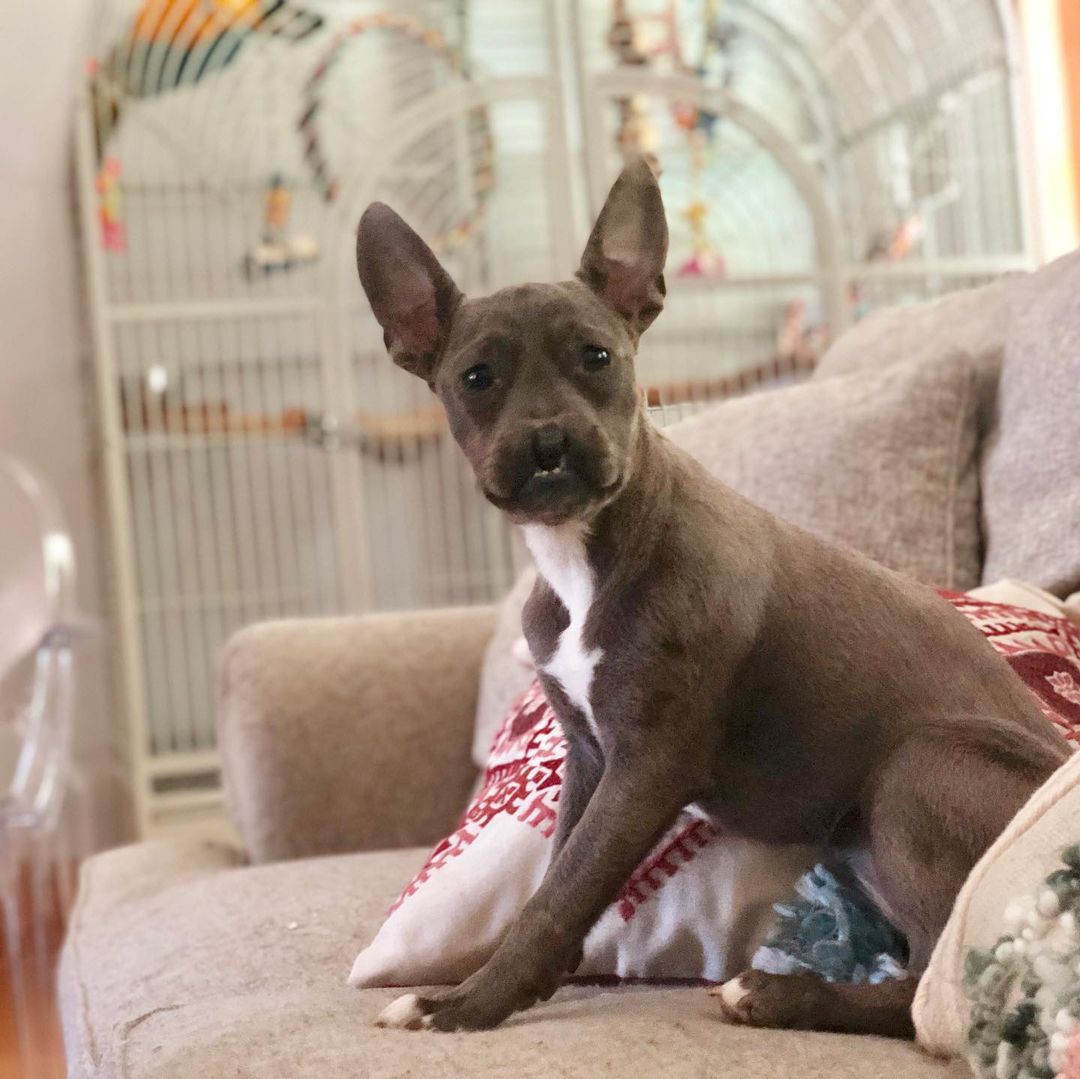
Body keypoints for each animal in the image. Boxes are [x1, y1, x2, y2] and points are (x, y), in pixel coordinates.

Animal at [354, 159, 1062, 1036]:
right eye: (475, 379)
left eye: (597, 357)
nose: (550, 442)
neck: (590, 553)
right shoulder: (592, 756)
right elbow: (560, 872)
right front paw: (520, 980)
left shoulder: (647, 766)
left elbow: (559, 894)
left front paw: (468, 1002)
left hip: (915, 768)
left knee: (931, 985)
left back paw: (777, 992)